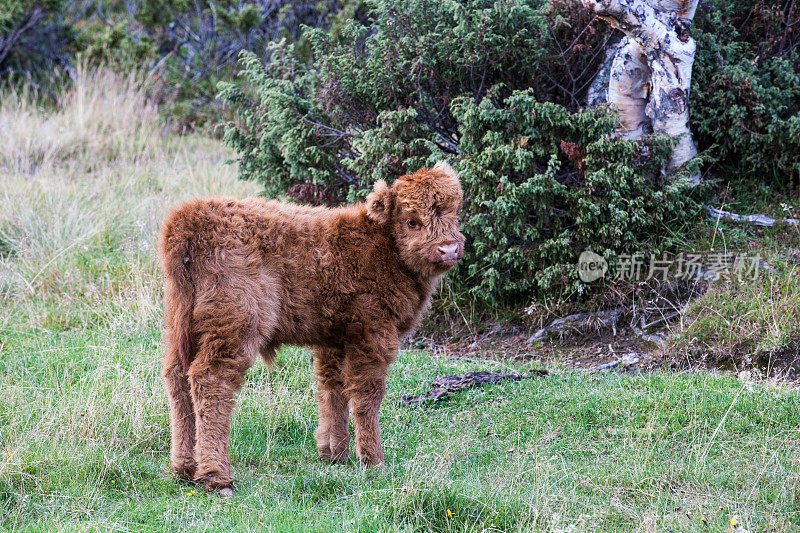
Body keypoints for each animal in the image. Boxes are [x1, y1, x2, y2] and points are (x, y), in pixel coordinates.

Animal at [157, 160, 466, 492]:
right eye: (411, 221)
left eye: (454, 213)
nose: (449, 249)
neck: (379, 245)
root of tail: (191, 215)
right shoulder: (372, 335)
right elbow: (366, 395)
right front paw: (373, 459)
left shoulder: (334, 340)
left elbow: (333, 389)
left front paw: (335, 453)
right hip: (233, 327)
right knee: (211, 381)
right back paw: (217, 476)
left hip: (179, 326)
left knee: (177, 379)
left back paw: (184, 467)